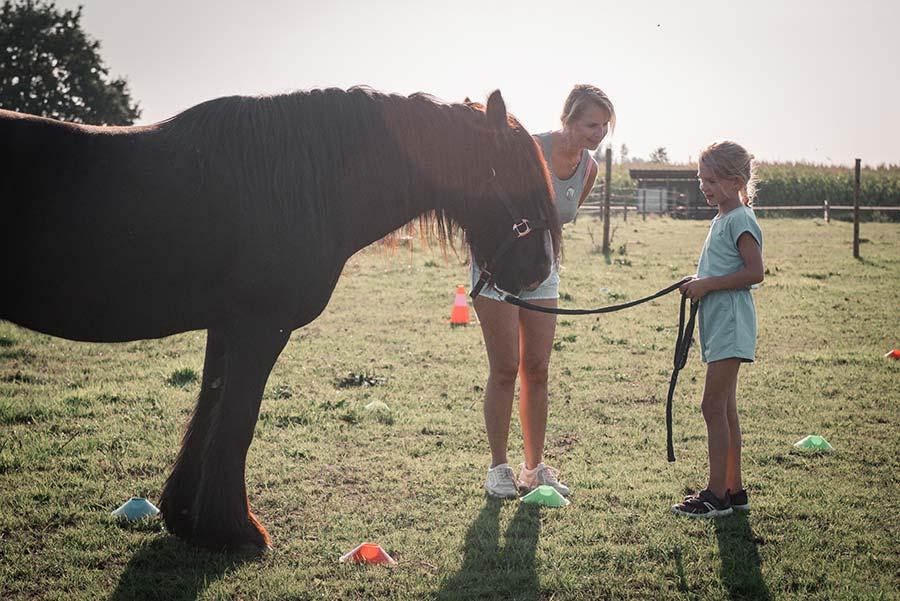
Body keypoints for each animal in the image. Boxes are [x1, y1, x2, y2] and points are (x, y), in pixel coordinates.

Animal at [0, 86, 561, 552]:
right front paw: (234, 531)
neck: (295, 183)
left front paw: (186, 518)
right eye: (517, 175)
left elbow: (211, 406)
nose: (538, 273)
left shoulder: (227, 327)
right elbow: (238, 419)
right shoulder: (258, 327)